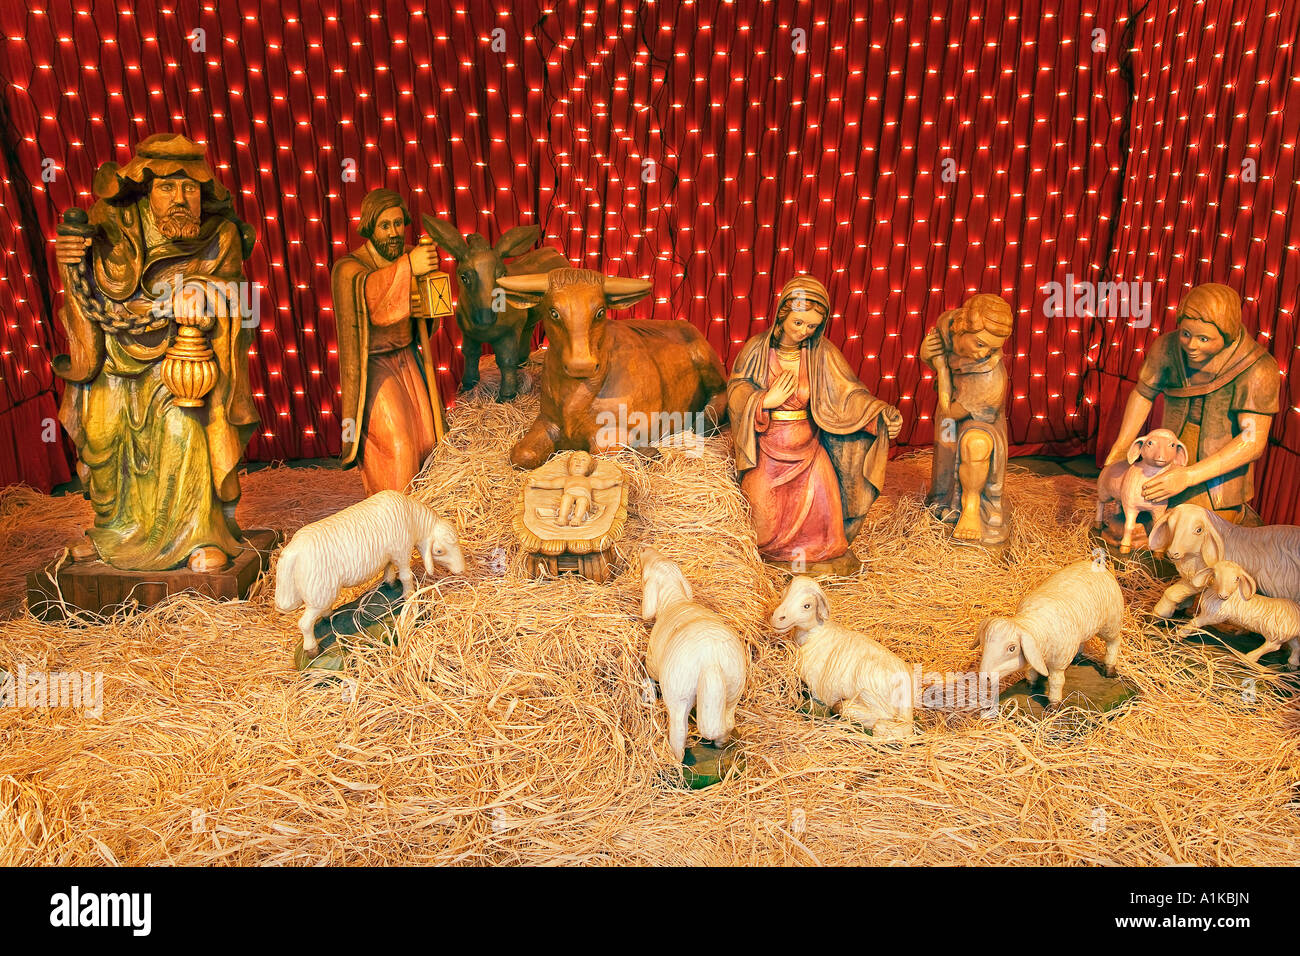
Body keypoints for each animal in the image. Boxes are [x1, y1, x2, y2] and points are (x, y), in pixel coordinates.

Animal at [271, 494, 465, 658]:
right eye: (439, 551)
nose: (461, 570)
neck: (413, 519)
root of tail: (292, 552)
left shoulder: (388, 554)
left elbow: (388, 569)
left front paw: (390, 584)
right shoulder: (401, 551)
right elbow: (406, 576)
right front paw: (409, 595)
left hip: (322, 590)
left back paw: (329, 616)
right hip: (319, 590)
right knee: (304, 624)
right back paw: (312, 649)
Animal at [637, 546, 743, 764]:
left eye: (645, 574)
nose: (644, 548)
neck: (674, 599)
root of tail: (711, 661)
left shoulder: (652, 661)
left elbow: (650, 675)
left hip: (678, 696)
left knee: (678, 735)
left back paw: (675, 763)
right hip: (733, 690)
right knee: (727, 723)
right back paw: (720, 745)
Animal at [769, 574, 915, 738]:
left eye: (807, 606)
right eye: (783, 595)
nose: (777, 617)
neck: (814, 635)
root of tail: (907, 685)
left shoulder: (817, 690)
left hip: (868, 685)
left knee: (884, 718)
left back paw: (844, 708)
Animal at [977, 556, 1128, 707]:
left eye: (1012, 648)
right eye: (984, 643)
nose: (985, 677)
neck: (1035, 624)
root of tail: (1096, 564)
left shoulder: (1058, 663)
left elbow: (1056, 682)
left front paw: (1053, 705)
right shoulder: (1034, 653)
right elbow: (1030, 670)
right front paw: (1031, 684)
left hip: (1111, 624)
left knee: (1114, 642)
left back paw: (1109, 669)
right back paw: (1077, 657)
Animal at [1149, 504, 1300, 616]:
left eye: (1199, 530)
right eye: (1170, 525)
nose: (1172, 553)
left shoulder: (1207, 577)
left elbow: (1172, 592)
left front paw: (1160, 612)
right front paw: (1183, 605)